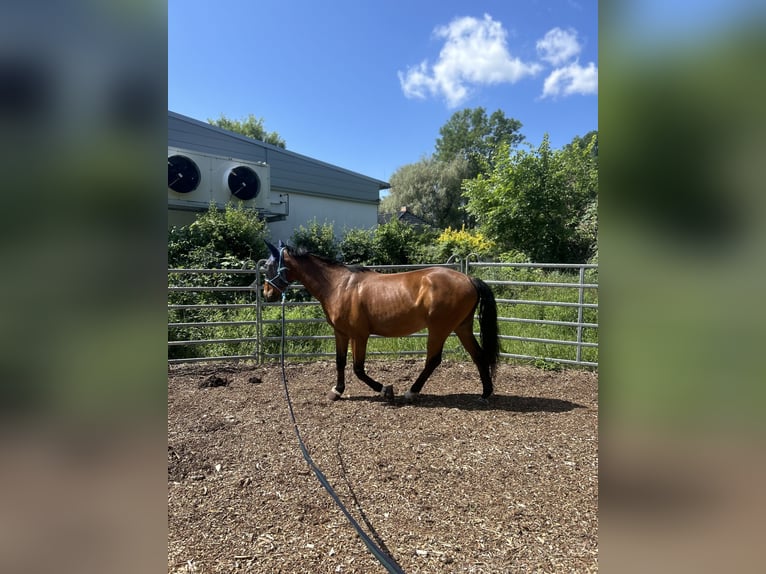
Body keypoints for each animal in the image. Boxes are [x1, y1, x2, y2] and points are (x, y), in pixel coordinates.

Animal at [262, 240, 500, 403]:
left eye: (270, 266)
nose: (267, 293)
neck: (338, 286)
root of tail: (469, 279)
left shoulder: (359, 335)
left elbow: (358, 368)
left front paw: (385, 389)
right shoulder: (341, 333)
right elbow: (340, 362)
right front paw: (337, 391)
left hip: (439, 329)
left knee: (433, 360)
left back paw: (411, 392)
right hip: (462, 327)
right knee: (478, 355)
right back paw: (485, 393)